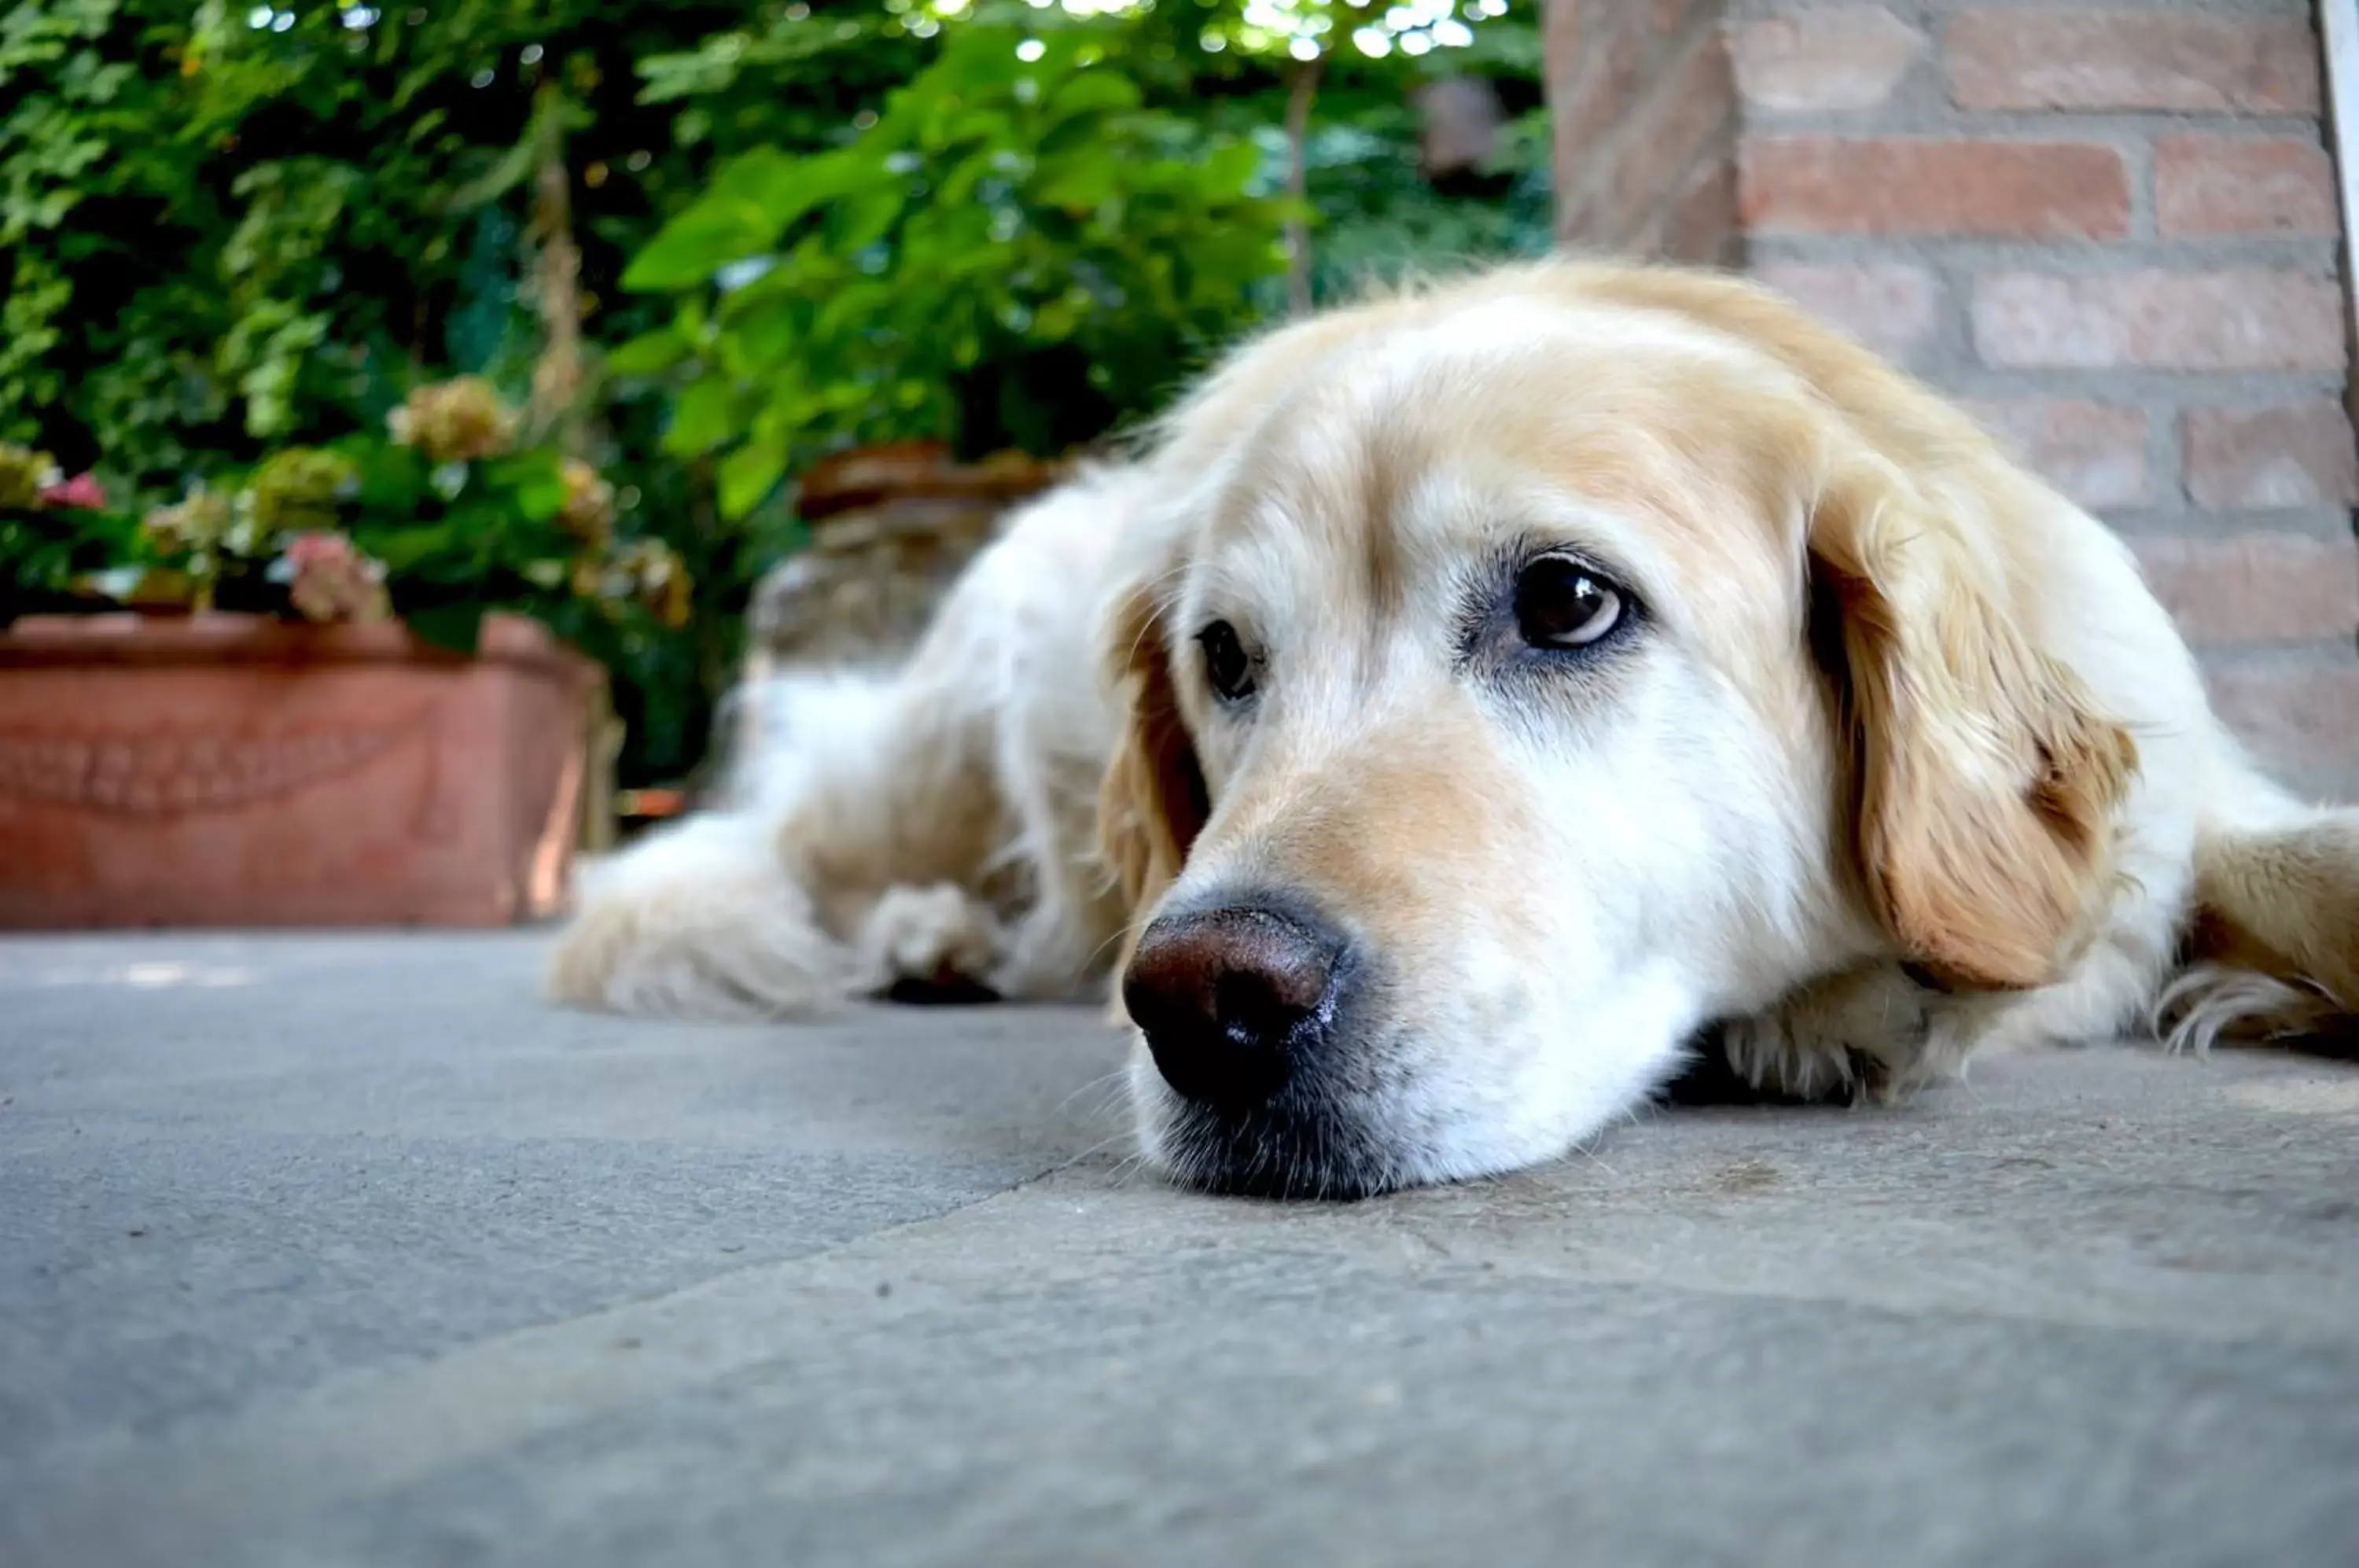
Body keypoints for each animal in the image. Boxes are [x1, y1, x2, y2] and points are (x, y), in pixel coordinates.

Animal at [547, 263, 2359, 1198]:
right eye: (1226, 656)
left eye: (1566, 601)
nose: (1201, 1003)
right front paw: (1856, 1006)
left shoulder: (2179, 795)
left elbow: (2304, 871)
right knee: (827, 859)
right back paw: (938, 938)